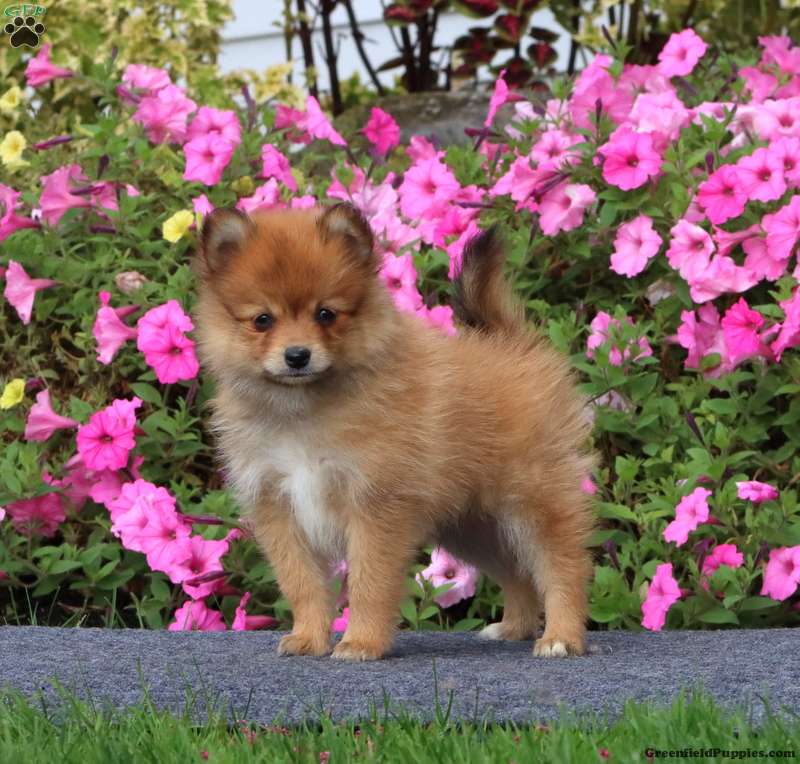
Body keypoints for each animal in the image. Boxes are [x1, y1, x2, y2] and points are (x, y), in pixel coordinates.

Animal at [192, 202, 597, 660]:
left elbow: (369, 583)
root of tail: (514, 346)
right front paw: (309, 638)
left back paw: (561, 636)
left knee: (563, 565)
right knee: (516, 571)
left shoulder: (375, 504)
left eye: (325, 314)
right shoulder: (278, 506)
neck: (302, 410)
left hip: (533, 501)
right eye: (262, 320)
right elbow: (302, 584)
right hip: (474, 525)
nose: (297, 355)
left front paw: (362, 642)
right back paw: (514, 627)